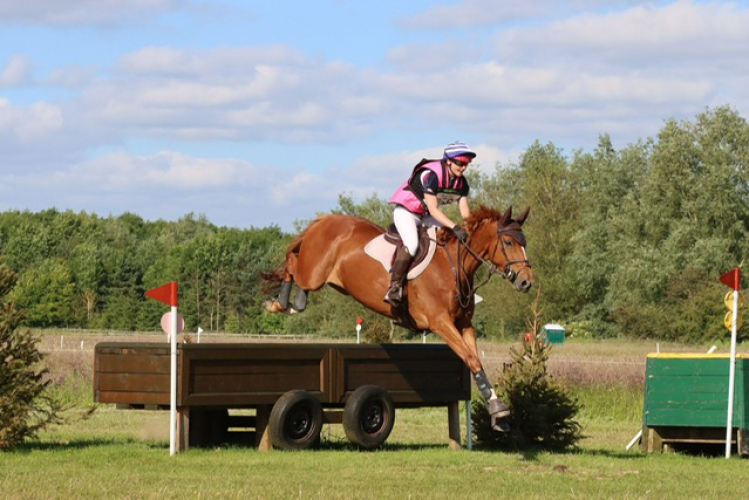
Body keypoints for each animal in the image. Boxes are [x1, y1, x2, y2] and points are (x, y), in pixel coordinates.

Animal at [263, 205, 533, 431]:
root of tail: (325, 220)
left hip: (316, 276)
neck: (455, 266)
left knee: (297, 277)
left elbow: (476, 361)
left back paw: (293, 304)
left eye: (524, 242)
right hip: (314, 273)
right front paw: (498, 410)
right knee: (292, 264)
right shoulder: (440, 322)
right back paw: (279, 304)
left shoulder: (464, 324)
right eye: (508, 242)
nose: (526, 282)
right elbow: (471, 359)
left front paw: (497, 412)